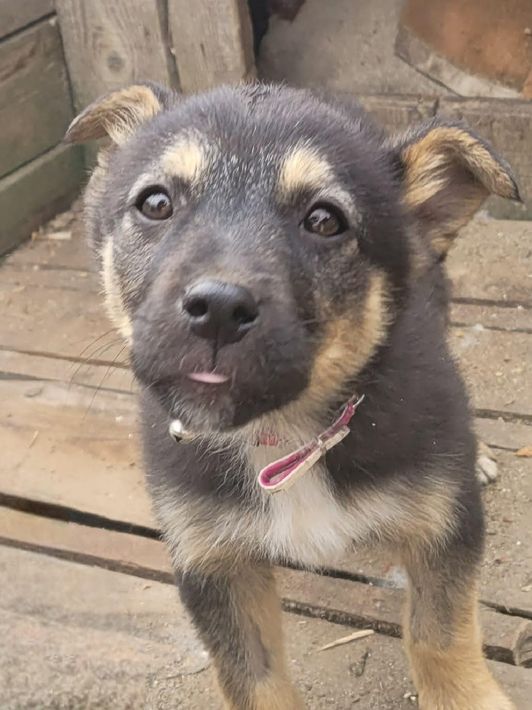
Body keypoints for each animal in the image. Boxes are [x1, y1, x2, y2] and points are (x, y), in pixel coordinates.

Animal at [66, 82, 520, 709]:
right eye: (156, 204)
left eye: (325, 221)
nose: (218, 310)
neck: (282, 433)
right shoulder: (211, 558)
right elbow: (251, 676)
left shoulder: (443, 523)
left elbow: (440, 631)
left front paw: (467, 697)